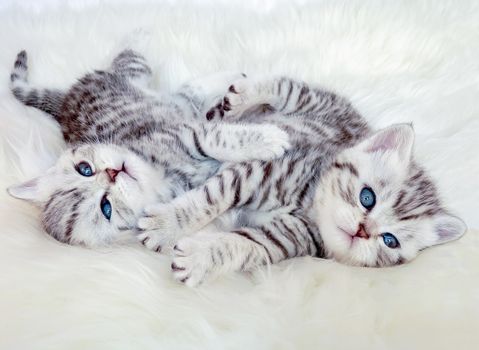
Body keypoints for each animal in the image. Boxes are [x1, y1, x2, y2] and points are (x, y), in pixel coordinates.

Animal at [7, 49, 290, 247]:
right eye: (106, 207)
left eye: (84, 169)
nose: (112, 173)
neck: (157, 174)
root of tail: (65, 99)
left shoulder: (186, 132)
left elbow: (217, 139)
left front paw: (269, 139)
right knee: (186, 91)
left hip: (133, 79)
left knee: (137, 60)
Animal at [136, 75, 468, 286]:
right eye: (367, 197)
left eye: (389, 240)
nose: (362, 231)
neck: (310, 206)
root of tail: (362, 123)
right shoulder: (258, 171)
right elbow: (211, 199)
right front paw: (166, 224)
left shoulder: (288, 238)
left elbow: (245, 243)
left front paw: (201, 257)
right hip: (313, 101)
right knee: (285, 87)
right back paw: (242, 97)